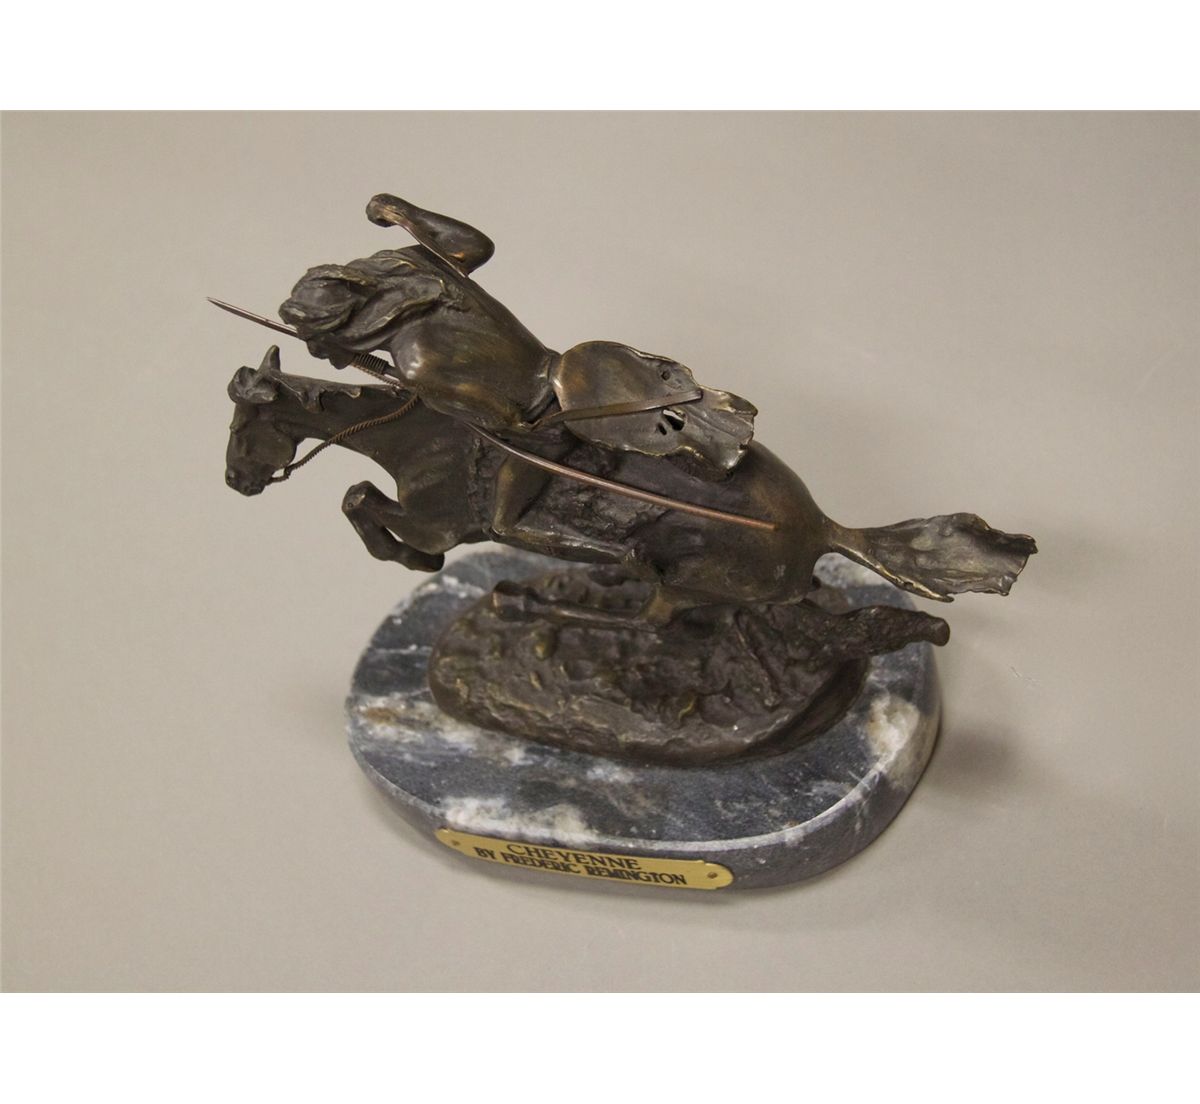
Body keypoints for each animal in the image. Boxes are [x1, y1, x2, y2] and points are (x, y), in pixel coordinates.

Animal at [225, 345, 1036, 629]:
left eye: (245, 425)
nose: (235, 481)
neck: (429, 435)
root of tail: (820, 526)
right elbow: (358, 498)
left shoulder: (441, 520)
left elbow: (361, 501)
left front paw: (411, 563)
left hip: (693, 582)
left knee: (650, 623)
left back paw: (533, 601)